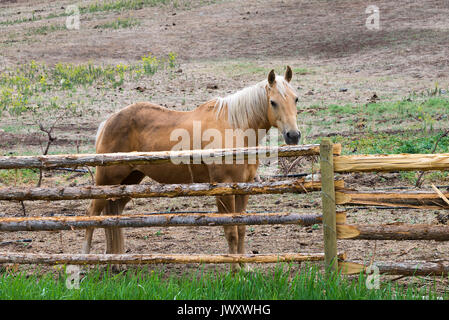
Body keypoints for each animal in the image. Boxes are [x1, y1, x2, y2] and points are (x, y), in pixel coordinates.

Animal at [83, 66, 300, 272]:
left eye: (296, 99)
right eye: (273, 102)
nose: (294, 135)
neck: (235, 129)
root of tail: (108, 122)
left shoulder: (243, 188)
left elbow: (241, 229)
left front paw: (244, 267)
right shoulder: (224, 189)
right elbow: (231, 231)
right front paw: (235, 270)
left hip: (129, 180)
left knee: (113, 213)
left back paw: (117, 263)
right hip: (106, 180)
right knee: (92, 213)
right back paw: (83, 262)